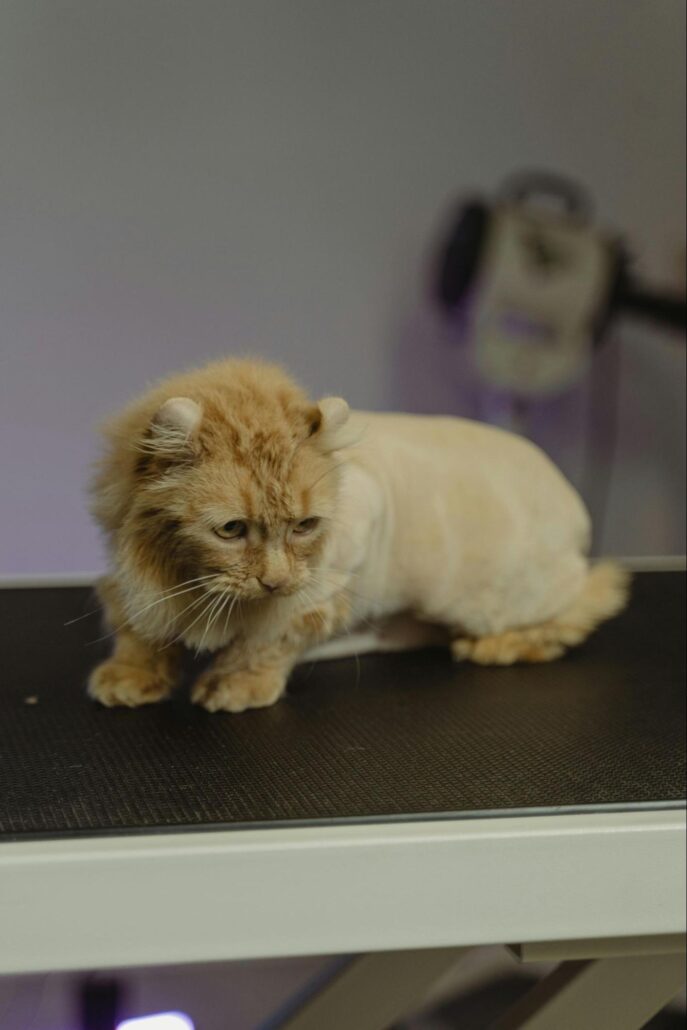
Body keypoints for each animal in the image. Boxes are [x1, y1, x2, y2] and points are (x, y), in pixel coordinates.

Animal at [87, 358, 630, 712]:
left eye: (304, 526)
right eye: (232, 530)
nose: (274, 581)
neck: (183, 577)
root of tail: (571, 498)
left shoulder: (323, 585)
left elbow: (264, 642)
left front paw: (234, 686)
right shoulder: (129, 578)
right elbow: (135, 627)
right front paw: (130, 676)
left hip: (493, 597)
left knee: (590, 600)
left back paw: (494, 646)